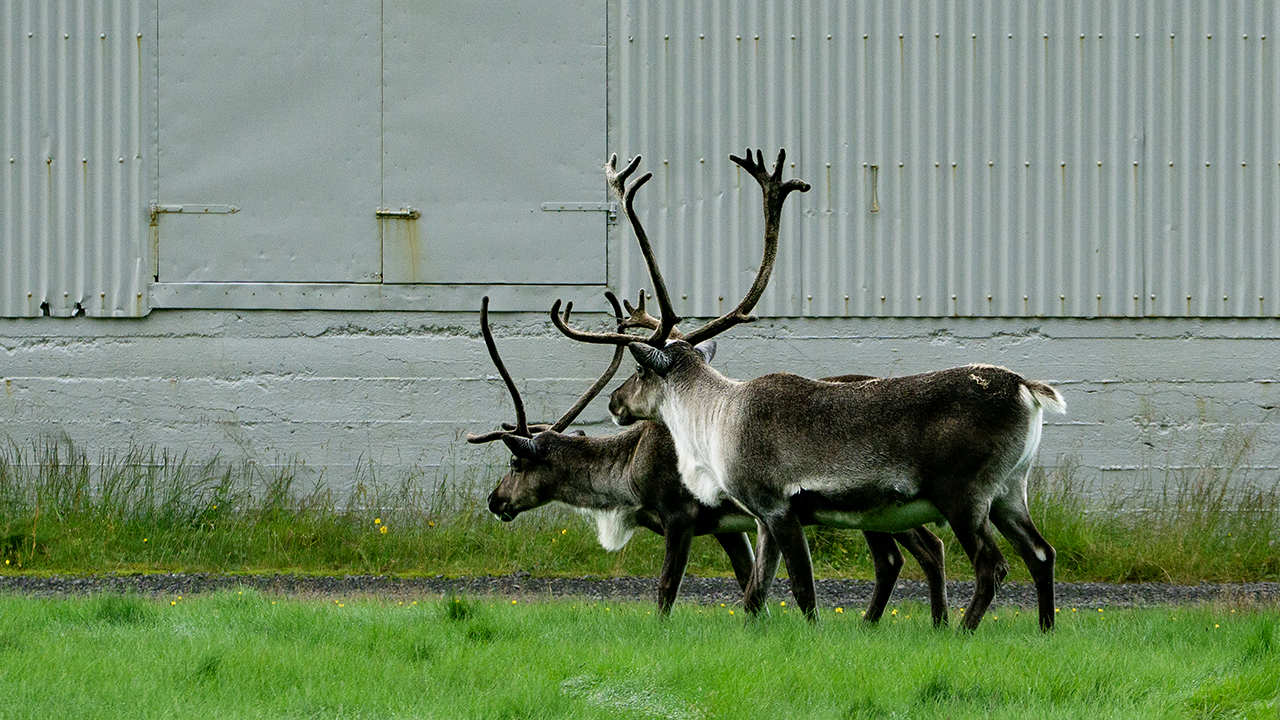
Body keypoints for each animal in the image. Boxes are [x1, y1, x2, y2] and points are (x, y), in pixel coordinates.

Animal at [550, 148, 1066, 632]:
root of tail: (1026, 388)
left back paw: (961, 631)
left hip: (963, 494)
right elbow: (754, 594)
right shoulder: (761, 517)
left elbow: (802, 590)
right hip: (1010, 490)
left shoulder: (779, 506)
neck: (716, 418)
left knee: (992, 565)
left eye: (639, 372)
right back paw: (1045, 630)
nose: (614, 403)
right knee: (1042, 553)